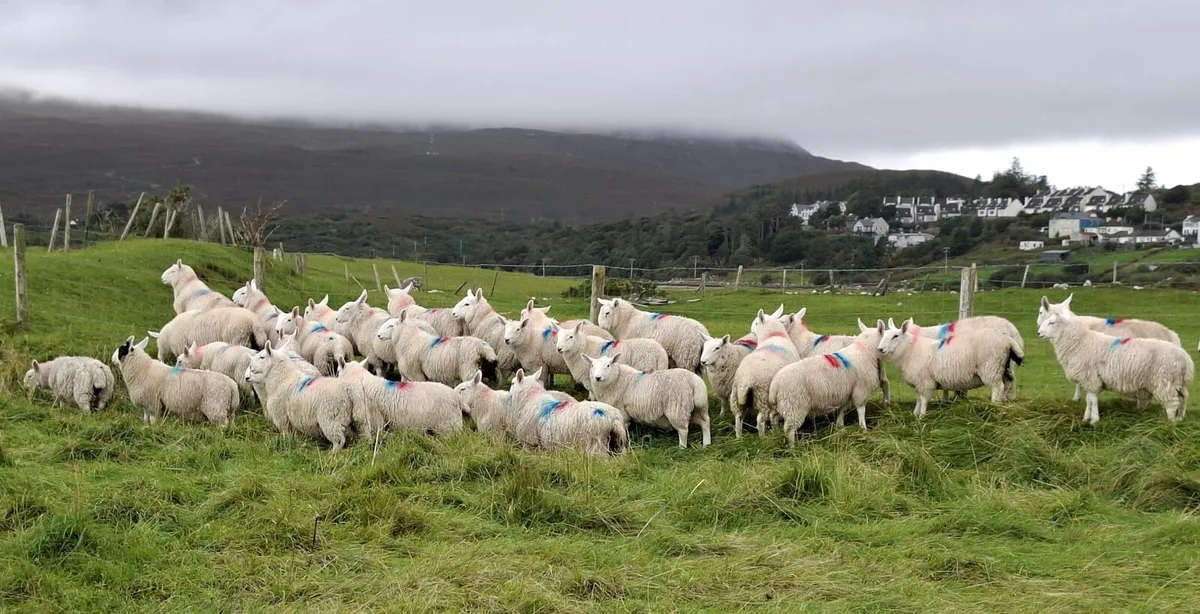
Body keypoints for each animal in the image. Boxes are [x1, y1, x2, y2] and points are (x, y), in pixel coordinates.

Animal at [729, 306, 799, 437]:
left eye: (756, 323)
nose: (751, 332)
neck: (773, 335)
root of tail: (746, 380)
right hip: (762, 396)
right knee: (760, 421)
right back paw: (763, 437)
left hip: (736, 397)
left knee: (738, 418)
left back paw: (739, 438)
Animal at [878, 318, 1023, 419]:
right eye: (882, 335)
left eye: (895, 336)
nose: (880, 349)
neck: (910, 350)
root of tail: (1008, 339)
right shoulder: (919, 382)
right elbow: (918, 398)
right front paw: (915, 414)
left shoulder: (925, 382)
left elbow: (923, 400)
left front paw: (921, 417)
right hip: (1003, 367)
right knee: (1007, 384)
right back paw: (1004, 404)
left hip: (991, 367)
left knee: (998, 387)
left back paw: (994, 406)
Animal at [1037, 297, 1193, 424]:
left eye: (1051, 322)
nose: (1038, 333)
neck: (1081, 340)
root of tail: (1185, 359)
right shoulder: (1093, 379)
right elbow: (1090, 399)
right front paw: (1086, 418)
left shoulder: (1090, 377)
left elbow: (1091, 399)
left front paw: (1093, 420)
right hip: (1177, 382)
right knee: (1183, 397)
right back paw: (1180, 418)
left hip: (1164, 381)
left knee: (1172, 404)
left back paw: (1170, 423)